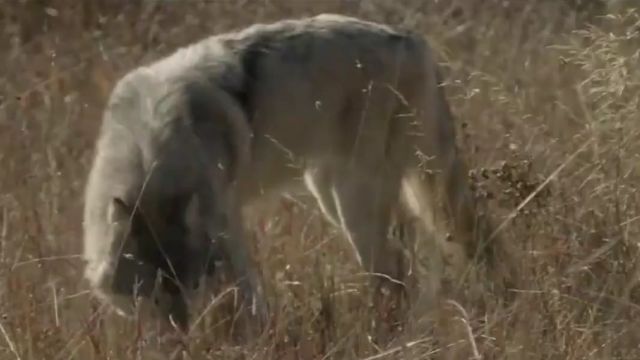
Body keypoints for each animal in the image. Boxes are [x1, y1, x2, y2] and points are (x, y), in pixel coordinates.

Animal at [81, 13, 500, 332]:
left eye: (190, 287)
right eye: (155, 294)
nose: (185, 336)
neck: (149, 149)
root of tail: (412, 40)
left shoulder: (228, 224)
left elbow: (248, 296)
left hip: (354, 200)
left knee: (393, 267)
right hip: (329, 193)